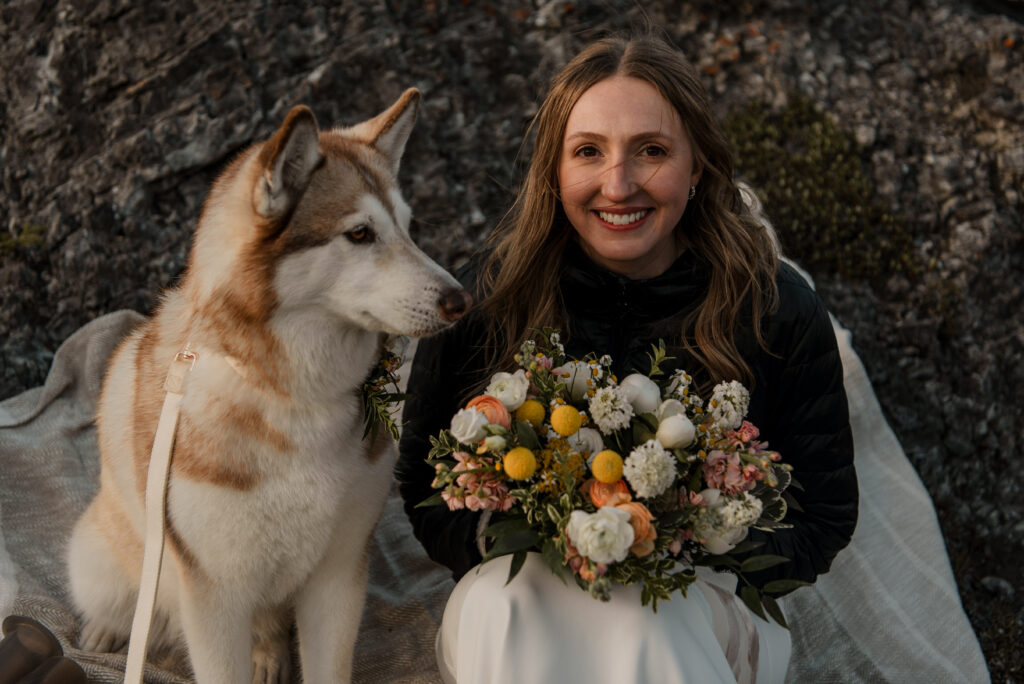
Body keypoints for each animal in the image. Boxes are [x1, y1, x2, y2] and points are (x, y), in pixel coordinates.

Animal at [68, 90, 471, 684]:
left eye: (407, 227)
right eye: (359, 233)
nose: (460, 300)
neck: (294, 398)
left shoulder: (339, 574)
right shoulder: (214, 596)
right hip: (103, 559)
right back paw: (107, 632)